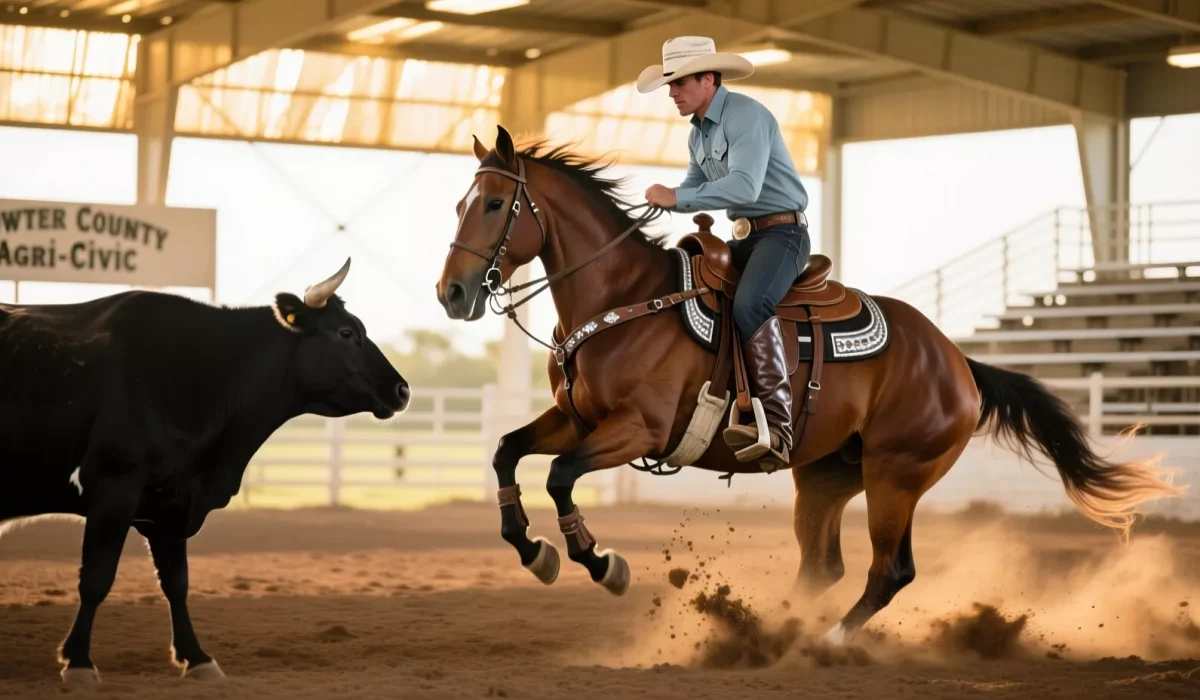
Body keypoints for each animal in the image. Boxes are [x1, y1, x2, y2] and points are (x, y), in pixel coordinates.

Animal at [0, 258, 409, 683]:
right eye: (346, 332)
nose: (403, 390)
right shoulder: (115, 489)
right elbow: (96, 578)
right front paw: (78, 662)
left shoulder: (170, 502)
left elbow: (176, 582)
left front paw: (196, 657)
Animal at [434, 125, 1184, 644]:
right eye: (459, 203)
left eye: (495, 203)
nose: (451, 293)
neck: (624, 299)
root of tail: (958, 361)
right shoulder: (578, 419)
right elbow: (506, 451)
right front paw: (532, 550)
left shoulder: (636, 431)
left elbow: (559, 474)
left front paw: (599, 561)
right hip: (825, 475)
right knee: (824, 566)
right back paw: (771, 632)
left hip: (895, 475)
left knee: (889, 571)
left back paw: (821, 642)